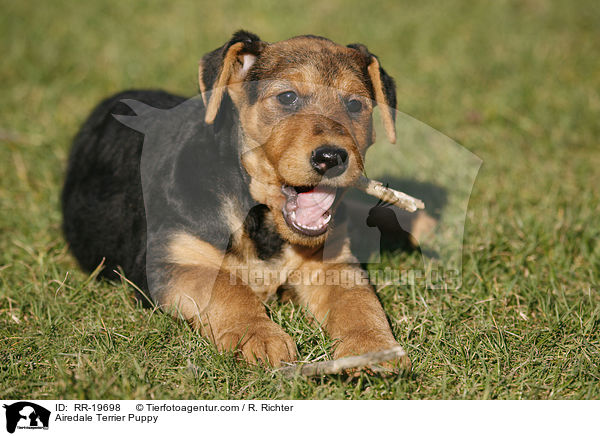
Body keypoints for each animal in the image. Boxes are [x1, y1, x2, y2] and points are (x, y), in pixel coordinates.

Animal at [62, 29, 408, 366]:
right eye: (287, 97)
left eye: (355, 104)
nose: (331, 158)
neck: (260, 219)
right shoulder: (171, 262)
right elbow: (228, 288)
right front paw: (260, 336)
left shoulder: (334, 263)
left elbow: (359, 302)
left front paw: (373, 347)